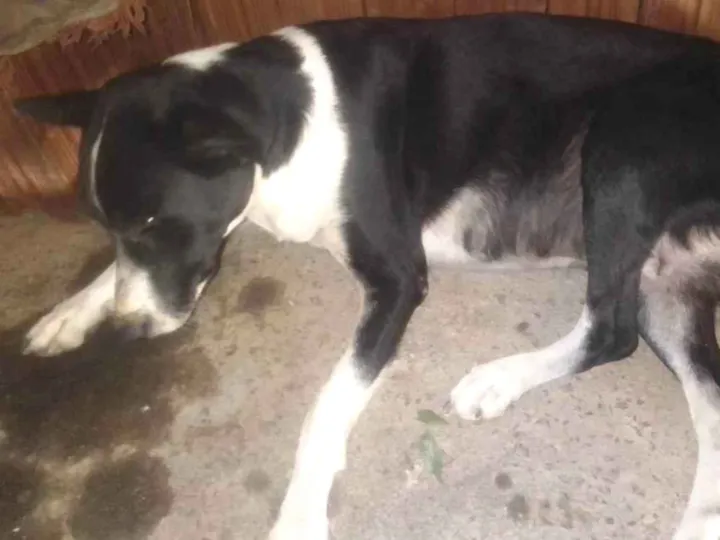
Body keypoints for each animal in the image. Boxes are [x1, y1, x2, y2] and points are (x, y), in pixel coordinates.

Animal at [14, 12, 720, 539]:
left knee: (610, 329)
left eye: (155, 221)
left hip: (623, 148)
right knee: (701, 400)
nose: (130, 330)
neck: (289, 119)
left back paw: (498, 379)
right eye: (109, 224)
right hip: (667, 278)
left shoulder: (398, 279)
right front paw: (69, 312)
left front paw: (299, 514)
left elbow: (324, 409)